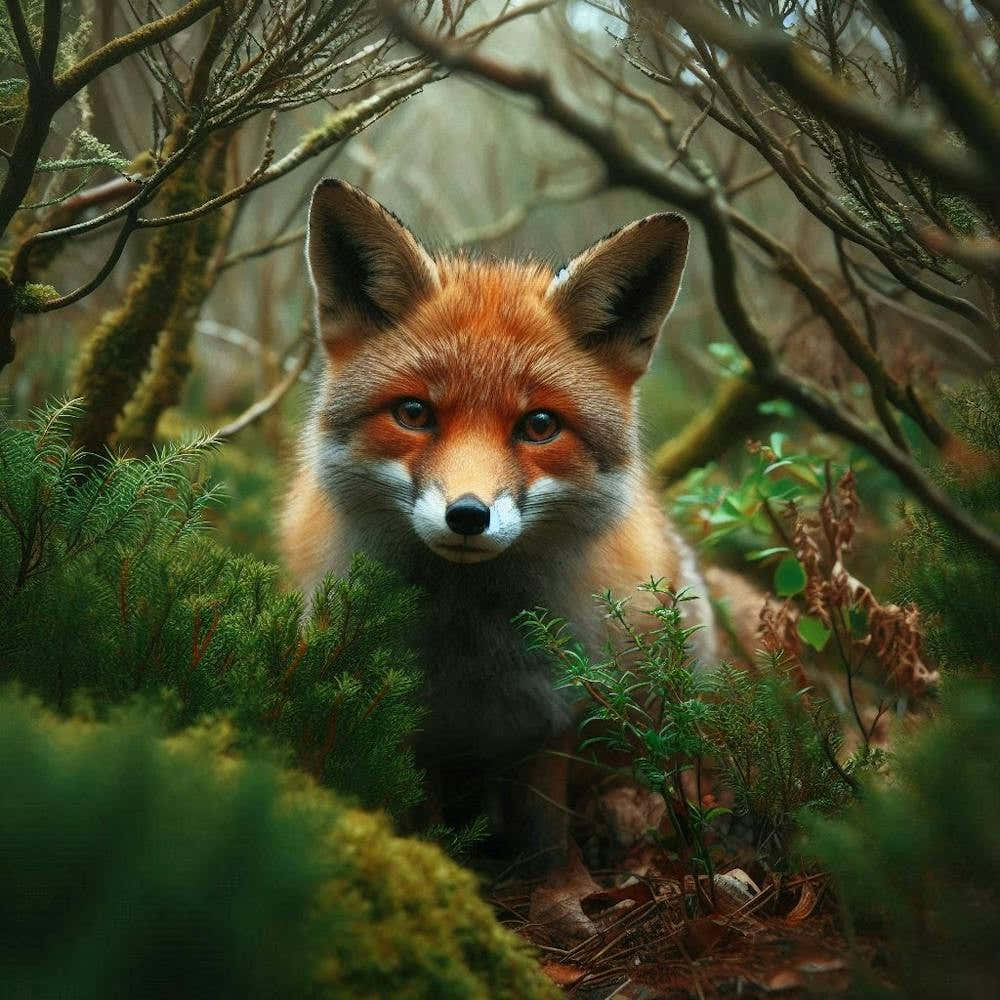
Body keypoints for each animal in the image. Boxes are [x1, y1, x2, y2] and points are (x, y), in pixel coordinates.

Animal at [280, 178, 720, 868]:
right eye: (414, 413)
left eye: (539, 425)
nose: (467, 515)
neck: (468, 650)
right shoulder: (409, 725)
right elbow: (421, 822)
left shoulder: (554, 714)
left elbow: (546, 843)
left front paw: (550, 883)